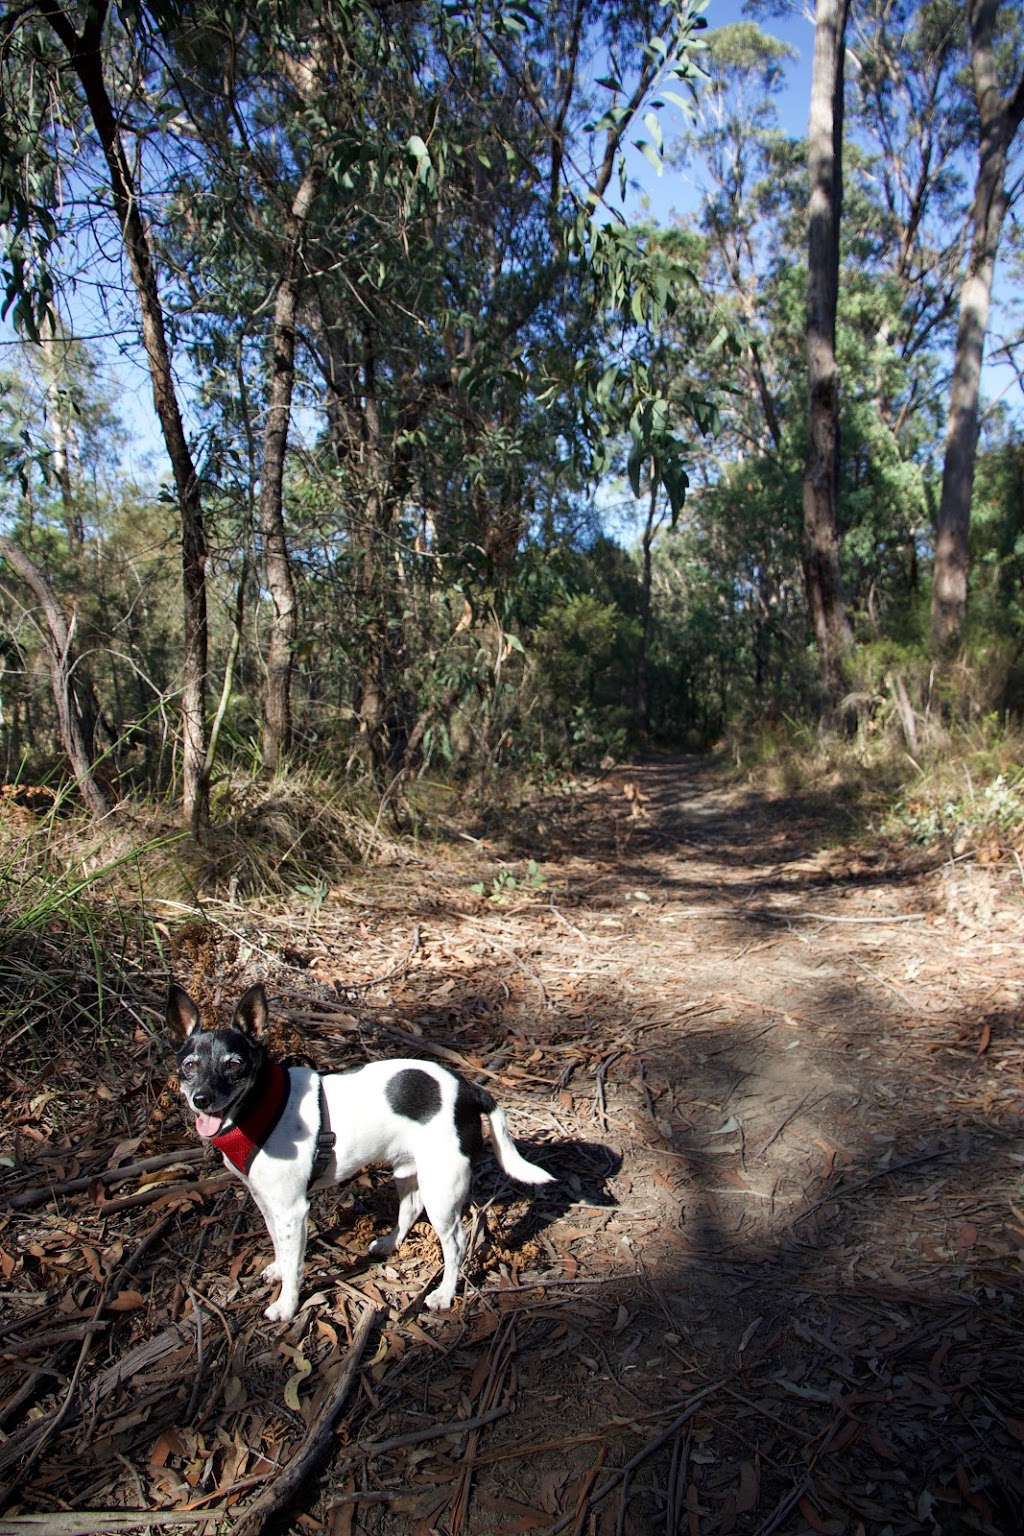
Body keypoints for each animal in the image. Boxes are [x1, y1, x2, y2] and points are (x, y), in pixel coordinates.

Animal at [170, 983, 552, 1320]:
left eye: (234, 1064)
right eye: (189, 1065)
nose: (201, 1098)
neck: (259, 1105)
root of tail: (469, 1089)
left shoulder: (293, 1209)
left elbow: (295, 1263)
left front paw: (287, 1305)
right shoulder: (266, 1201)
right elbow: (280, 1244)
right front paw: (278, 1268)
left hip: (442, 1191)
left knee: (456, 1243)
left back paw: (444, 1294)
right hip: (409, 1171)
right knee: (410, 1209)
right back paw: (389, 1244)